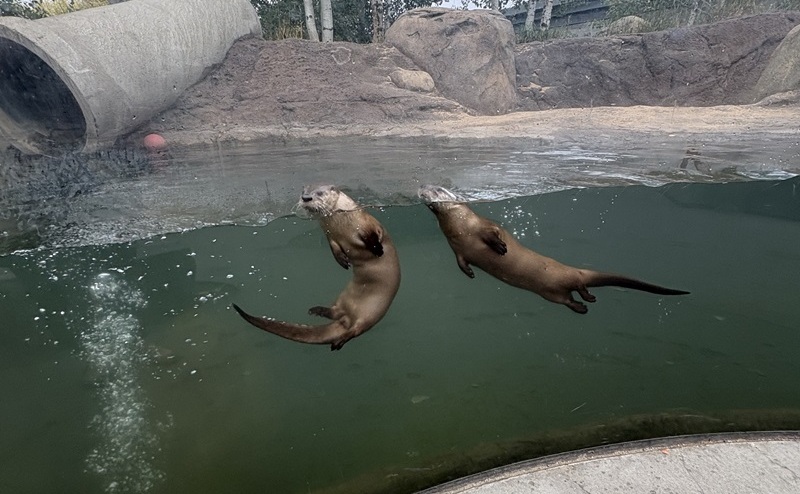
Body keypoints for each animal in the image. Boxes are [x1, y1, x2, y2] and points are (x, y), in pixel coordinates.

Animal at [233, 185, 401, 350]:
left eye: (319, 192)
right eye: (303, 191)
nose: (306, 198)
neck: (342, 224)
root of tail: (347, 319)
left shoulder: (367, 224)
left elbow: (374, 237)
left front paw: (378, 250)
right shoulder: (330, 236)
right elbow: (335, 249)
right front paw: (343, 261)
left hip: (369, 315)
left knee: (355, 329)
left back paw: (338, 340)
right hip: (344, 302)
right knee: (340, 317)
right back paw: (319, 313)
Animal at [418, 185, 688, 314]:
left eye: (439, 189)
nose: (422, 187)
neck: (460, 226)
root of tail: (574, 269)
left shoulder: (483, 226)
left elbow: (494, 234)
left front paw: (501, 248)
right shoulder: (457, 248)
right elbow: (461, 262)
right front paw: (470, 273)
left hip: (565, 277)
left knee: (579, 284)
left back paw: (588, 298)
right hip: (551, 294)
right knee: (568, 298)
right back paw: (583, 308)